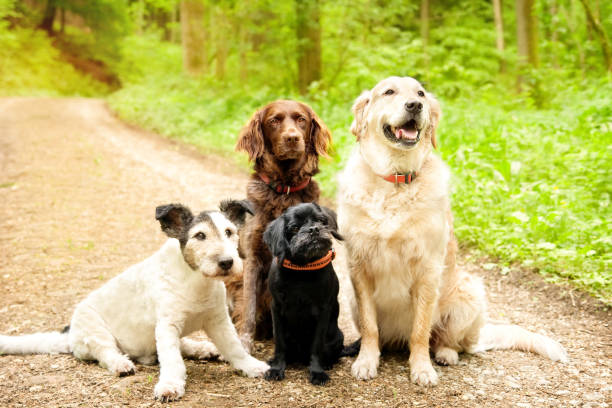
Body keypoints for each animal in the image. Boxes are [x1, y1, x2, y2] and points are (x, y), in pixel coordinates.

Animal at [228, 99, 332, 350]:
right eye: (274, 121)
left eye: (301, 119)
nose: (292, 138)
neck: (285, 189)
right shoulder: (252, 256)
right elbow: (249, 307)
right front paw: (245, 344)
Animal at [262, 204, 358, 386]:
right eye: (294, 227)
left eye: (321, 220)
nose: (313, 229)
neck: (302, 270)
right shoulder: (276, 308)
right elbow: (279, 343)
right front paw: (277, 368)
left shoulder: (323, 311)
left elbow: (317, 345)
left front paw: (317, 372)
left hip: (337, 337)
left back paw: (326, 363)